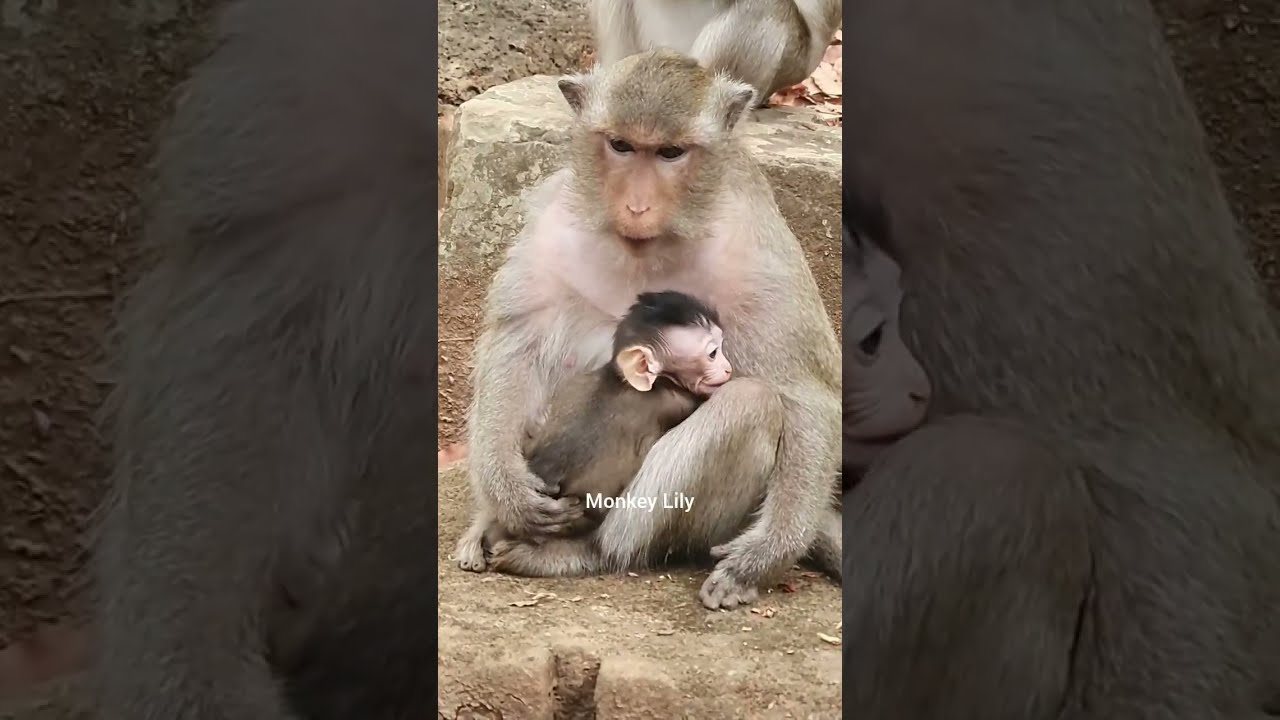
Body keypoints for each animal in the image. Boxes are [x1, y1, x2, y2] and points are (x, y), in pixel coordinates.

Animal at [454, 49, 842, 609]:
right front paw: (506, 487)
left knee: (751, 404)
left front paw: (765, 555)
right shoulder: (551, 224)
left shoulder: (758, 249)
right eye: (621, 145)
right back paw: (491, 525)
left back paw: (583, 553)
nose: (637, 205)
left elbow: (805, 394)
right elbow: (518, 343)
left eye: (670, 153)